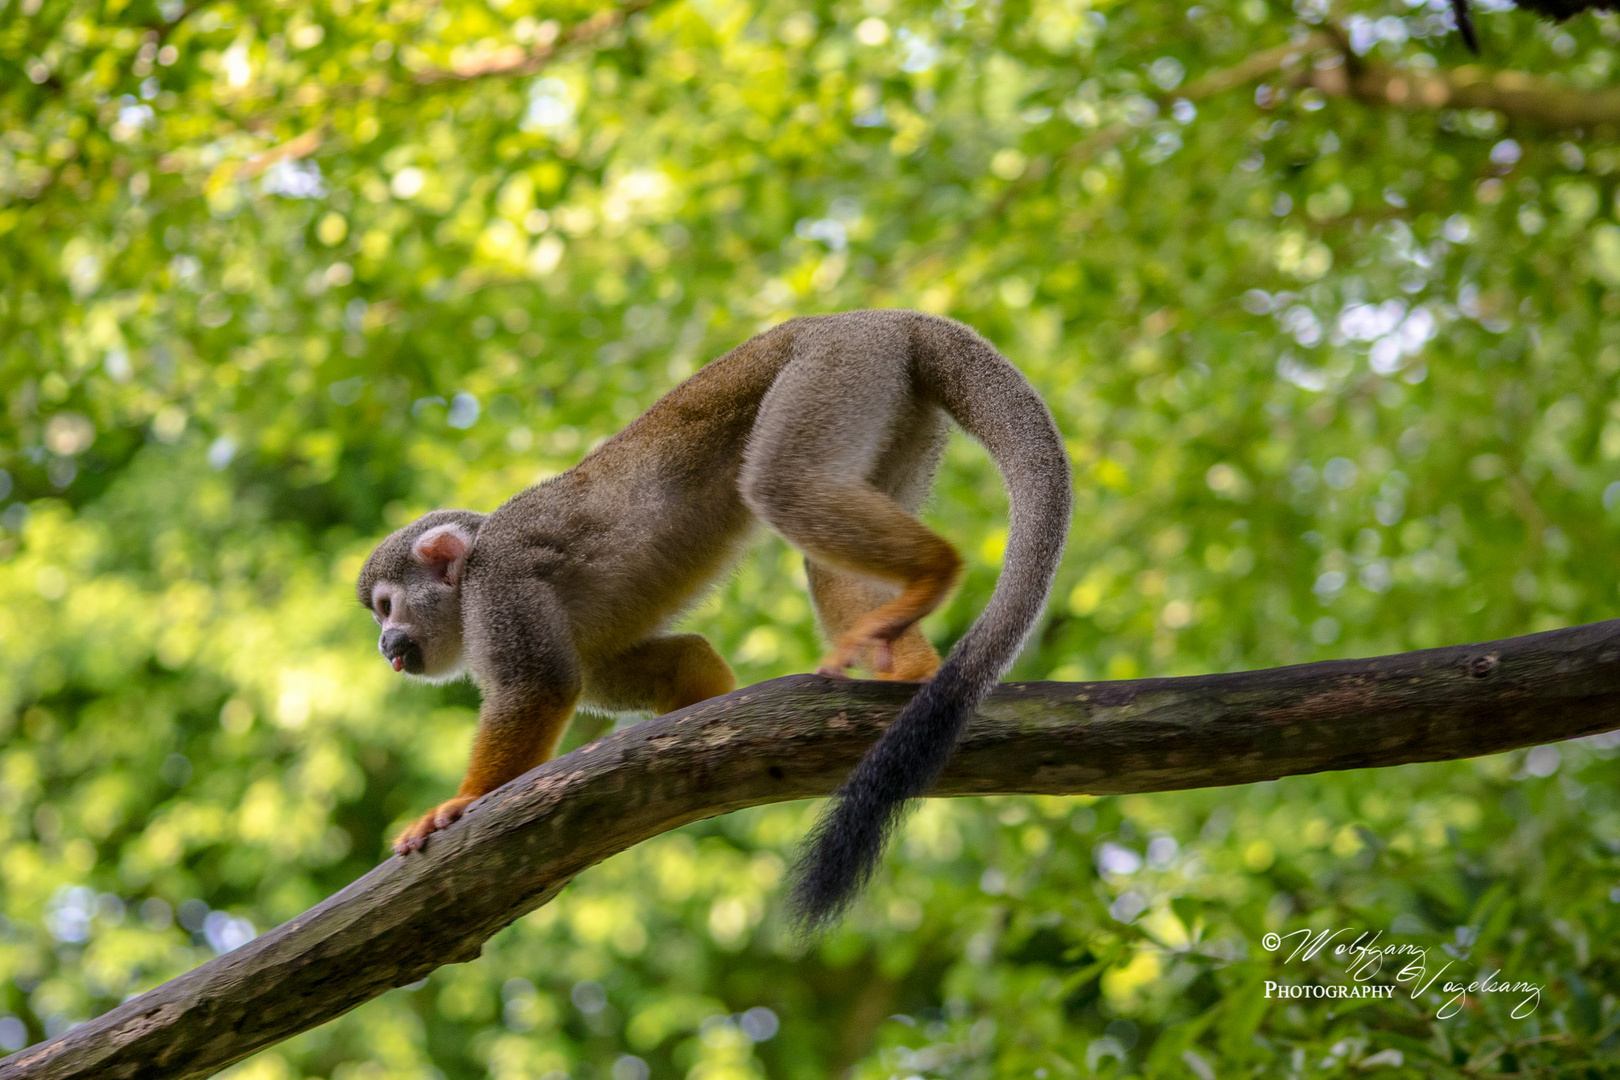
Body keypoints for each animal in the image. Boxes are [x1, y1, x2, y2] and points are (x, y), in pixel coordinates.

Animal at [356, 310, 1069, 932]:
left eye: (387, 607)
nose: (386, 643)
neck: (469, 584)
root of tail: (884, 317)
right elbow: (678, 663)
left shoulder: (501, 582)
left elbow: (540, 689)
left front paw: (460, 803)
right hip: (893, 399)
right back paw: (911, 665)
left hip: (835, 369)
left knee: (782, 484)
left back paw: (936, 572)